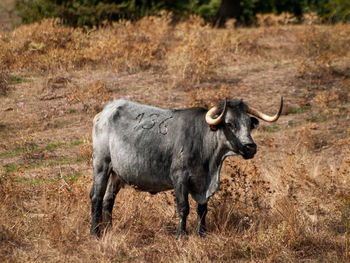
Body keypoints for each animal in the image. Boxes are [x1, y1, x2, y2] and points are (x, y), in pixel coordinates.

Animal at [89, 97, 284, 239]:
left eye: (249, 124)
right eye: (229, 123)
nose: (251, 147)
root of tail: (107, 111)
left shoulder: (203, 185)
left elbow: (202, 209)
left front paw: (202, 233)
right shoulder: (179, 179)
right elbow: (184, 208)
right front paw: (181, 235)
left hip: (116, 174)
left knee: (108, 200)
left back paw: (108, 230)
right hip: (101, 165)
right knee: (96, 197)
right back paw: (95, 233)